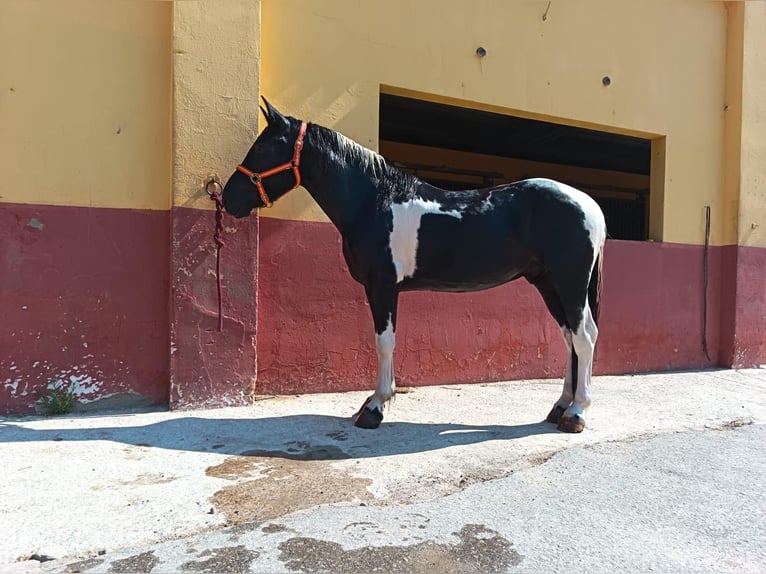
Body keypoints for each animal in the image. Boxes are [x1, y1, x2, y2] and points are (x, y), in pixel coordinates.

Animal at [223, 98, 606, 433]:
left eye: (263, 148)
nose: (227, 198)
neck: (373, 201)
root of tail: (589, 206)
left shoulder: (382, 285)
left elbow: (384, 342)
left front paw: (374, 408)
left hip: (569, 282)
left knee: (584, 336)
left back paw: (576, 413)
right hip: (547, 283)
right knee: (569, 338)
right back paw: (560, 406)